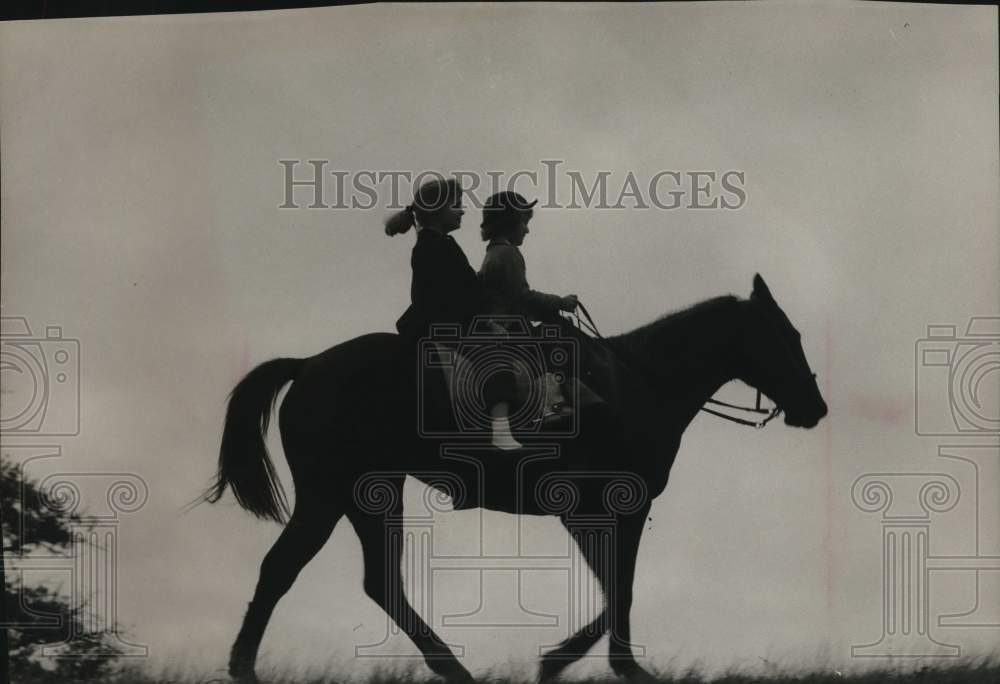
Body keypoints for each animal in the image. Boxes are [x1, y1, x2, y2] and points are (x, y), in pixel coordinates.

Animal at [201, 276, 828, 680]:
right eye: (788, 336)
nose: (816, 407)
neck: (637, 384)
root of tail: (308, 365)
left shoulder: (607, 512)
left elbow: (616, 586)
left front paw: (599, 664)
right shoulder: (598, 507)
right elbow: (619, 586)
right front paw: (581, 664)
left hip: (366, 494)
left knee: (369, 580)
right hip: (333, 493)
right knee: (289, 569)